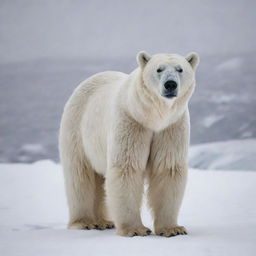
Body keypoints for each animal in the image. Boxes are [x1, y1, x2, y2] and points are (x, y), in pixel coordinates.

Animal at [59, 51, 199, 237]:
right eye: (159, 69)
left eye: (180, 69)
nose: (170, 84)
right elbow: (127, 167)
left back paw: (103, 222)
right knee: (80, 175)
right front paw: (136, 230)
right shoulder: (131, 121)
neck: (152, 117)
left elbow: (167, 169)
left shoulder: (171, 127)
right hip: (76, 128)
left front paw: (173, 229)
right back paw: (85, 222)